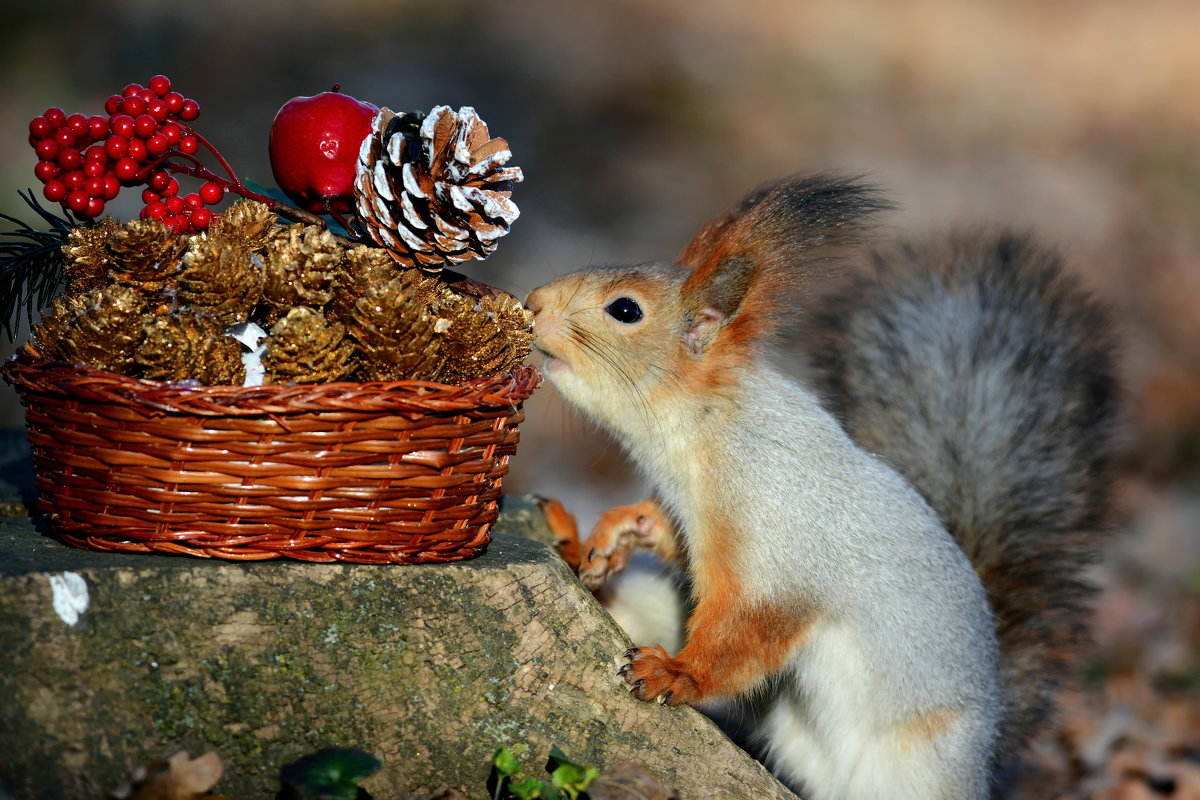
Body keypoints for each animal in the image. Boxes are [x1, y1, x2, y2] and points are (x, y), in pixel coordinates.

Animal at [525, 176, 1113, 800]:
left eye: (625, 309)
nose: (533, 301)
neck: (703, 430)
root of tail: (991, 738)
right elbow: (667, 535)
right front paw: (614, 531)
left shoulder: (780, 536)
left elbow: (747, 633)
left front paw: (678, 674)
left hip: (922, 769)